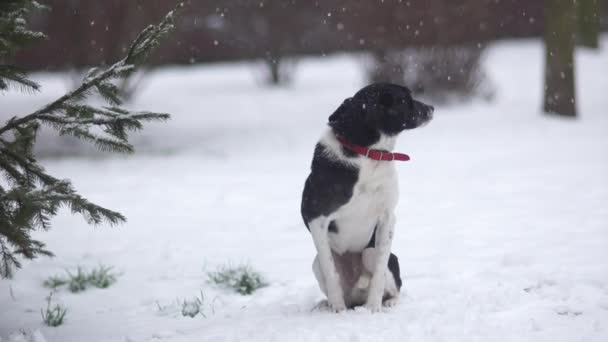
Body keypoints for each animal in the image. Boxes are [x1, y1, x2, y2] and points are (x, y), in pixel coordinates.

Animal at [300, 83, 432, 312]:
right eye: (404, 100)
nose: (431, 108)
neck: (369, 154)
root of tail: (356, 296)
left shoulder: (388, 217)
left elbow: (379, 270)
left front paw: (373, 308)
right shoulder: (317, 218)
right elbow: (331, 272)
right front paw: (337, 309)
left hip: (371, 254)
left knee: (392, 284)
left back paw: (388, 301)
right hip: (316, 264)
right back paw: (327, 304)